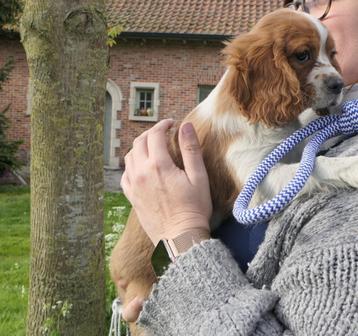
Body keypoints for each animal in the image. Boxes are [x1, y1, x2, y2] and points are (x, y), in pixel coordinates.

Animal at [109, 8, 358, 336]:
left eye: (332, 54)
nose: (339, 84)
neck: (264, 118)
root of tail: (114, 265)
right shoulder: (254, 182)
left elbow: (307, 145)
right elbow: (314, 166)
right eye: (303, 55)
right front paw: (352, 166)